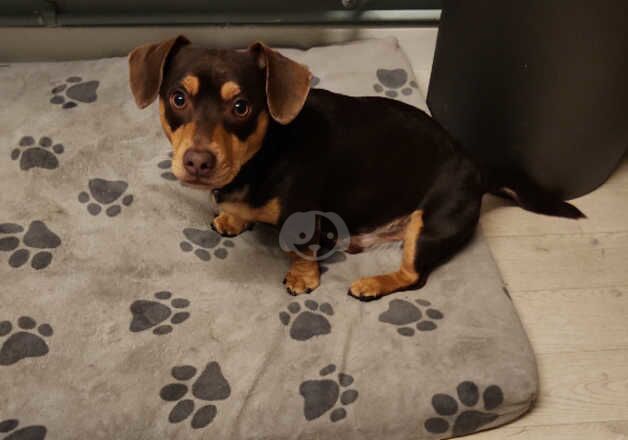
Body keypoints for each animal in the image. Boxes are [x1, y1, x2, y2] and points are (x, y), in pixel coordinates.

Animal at [126, 36, 584, 300]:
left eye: (241, 107)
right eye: (177, 99)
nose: (198, 162)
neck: (262, 154)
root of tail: (476, 167)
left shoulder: (305, 216)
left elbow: (302, 248)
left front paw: (302, 277)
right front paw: (232, 218)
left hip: (430, 227)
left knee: (414, 275)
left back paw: (372, 284)